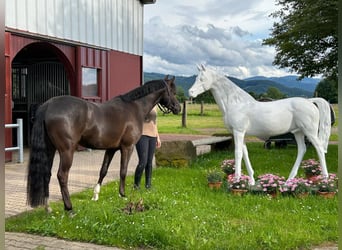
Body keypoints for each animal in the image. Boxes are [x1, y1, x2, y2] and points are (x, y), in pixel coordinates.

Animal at [27, 75, 182, 211]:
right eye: (173, 92)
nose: (178, 108)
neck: (134, 107)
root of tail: (48, 106)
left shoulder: (111, 149)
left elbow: (103, 170)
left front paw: (95, 195)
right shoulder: (128, 147)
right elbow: (123, 171)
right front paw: (123, 194)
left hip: (50, 149)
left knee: (47, 174)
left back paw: (48, 208)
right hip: (66, 151)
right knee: (62, 176)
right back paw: (69, 208)